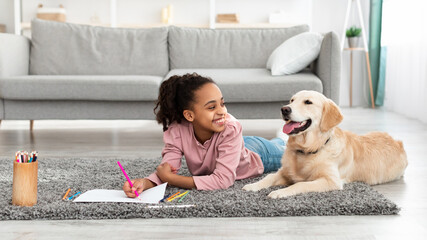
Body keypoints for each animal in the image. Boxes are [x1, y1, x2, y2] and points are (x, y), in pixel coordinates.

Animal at [244, 90, 408, 199]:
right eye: (291, 100)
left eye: (308, 102)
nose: (284, 109)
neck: (307, 149)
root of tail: (397, 142)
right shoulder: (284, 172)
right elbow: (269, 177)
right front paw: (253, 186)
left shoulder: (331, 180)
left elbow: (300, 184)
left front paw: (279, 192)